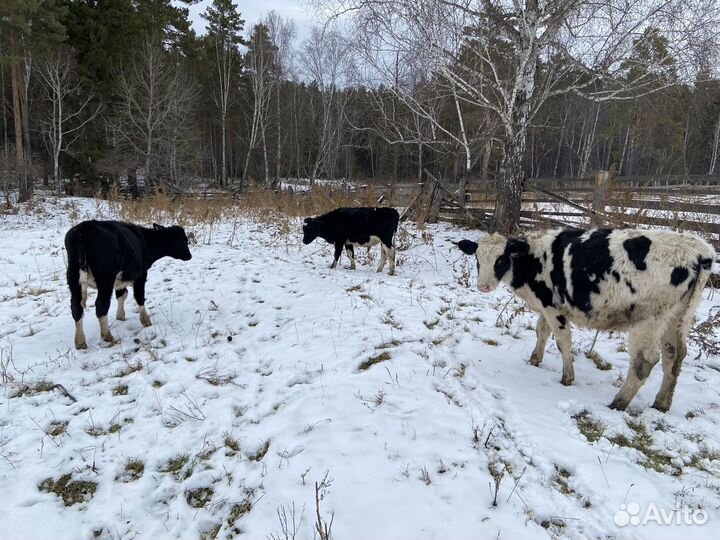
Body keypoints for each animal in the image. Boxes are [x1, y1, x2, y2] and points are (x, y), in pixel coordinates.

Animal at [65, 220, 193, 350]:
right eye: (184, 240)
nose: (189, 255)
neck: (145, 241)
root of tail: (85, 226)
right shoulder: (141, 275)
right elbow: (139, 297)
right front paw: (146, 320)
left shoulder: (121, 280)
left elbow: (122, 295)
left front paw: (120, 316)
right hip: (105, 279)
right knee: (101, 306)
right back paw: (107, 336)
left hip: (73, 277)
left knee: (76, 307)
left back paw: (80, 342)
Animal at [456, 227, 716, 410]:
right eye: (478, 258)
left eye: (501, 259)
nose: (483, 286)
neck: (533, 258)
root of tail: (700, 251)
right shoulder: (545, 305)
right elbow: (542, 332)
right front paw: (534, 360)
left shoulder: (554, 308)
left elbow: (562, 341)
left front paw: (567, 378)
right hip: (678, 317)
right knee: (674, 356)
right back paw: (661, 403)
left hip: (649, 319)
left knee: (645, 361)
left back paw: (618, 403)